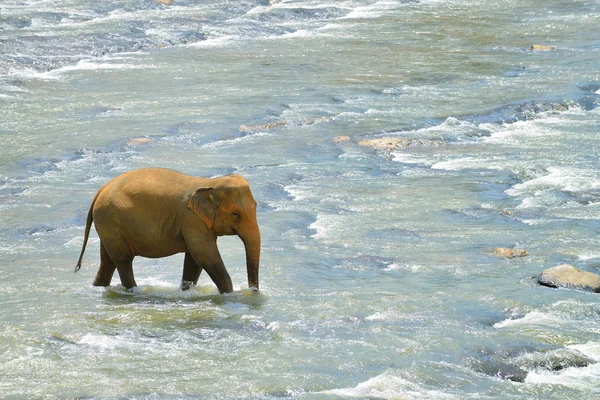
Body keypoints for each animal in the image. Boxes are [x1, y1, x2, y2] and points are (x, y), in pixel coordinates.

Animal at [73, 167, 260, 292]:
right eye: (236, 214)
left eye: (256, 206)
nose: (253, 292)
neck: (209, 183)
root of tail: (99, 191)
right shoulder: (192, 221)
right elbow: (205, 256)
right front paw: (229, 294)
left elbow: (194, 260)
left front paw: (186, 290)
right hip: (111, 222)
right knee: (123, 260)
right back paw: (134, 292)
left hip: (108, 227)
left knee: (107, 261)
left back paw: (98, 287)